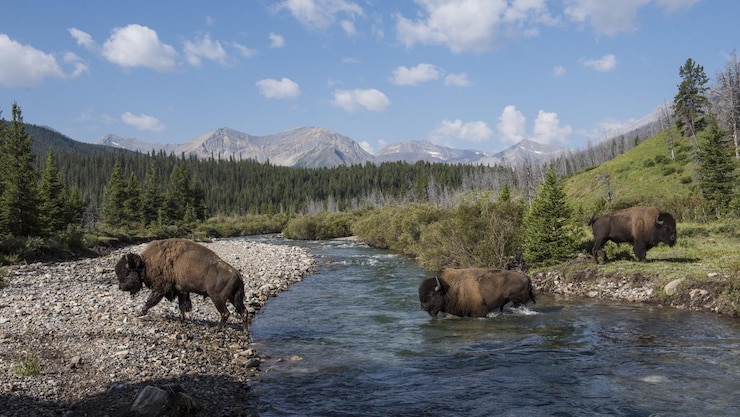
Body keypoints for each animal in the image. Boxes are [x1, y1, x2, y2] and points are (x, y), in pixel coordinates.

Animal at [115, 238, 248, 332]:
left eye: (126, 273)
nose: (121, 287)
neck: (146, 263)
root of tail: (237, 273)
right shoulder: (181, 291)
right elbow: (182, 306)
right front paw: (181, 319)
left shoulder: (160, 289)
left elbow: (151, 301)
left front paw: (140, 312)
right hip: (234, 298)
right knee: (243, 311)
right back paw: (245, 332)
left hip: (218, 298)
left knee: (225, 313)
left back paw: (216, 329)